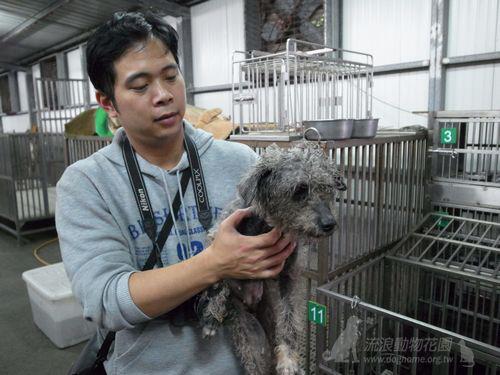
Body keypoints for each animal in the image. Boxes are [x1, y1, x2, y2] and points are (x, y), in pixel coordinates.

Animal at [197, 142, 346, 374]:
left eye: (326, 188)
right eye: (299, 190)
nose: (330, 223)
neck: (267, 226)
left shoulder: (289, 278)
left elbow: (289, 319)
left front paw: (289, 359)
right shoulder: (217, 238)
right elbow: (217, 279)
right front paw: (211, 314)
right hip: (249, 339)